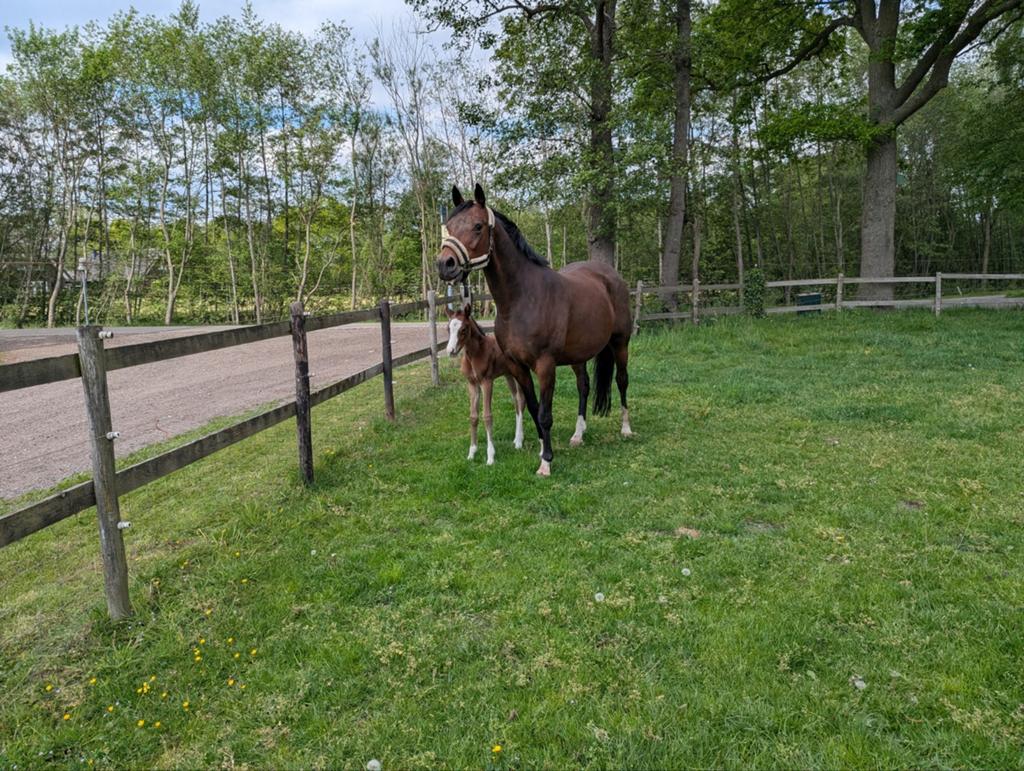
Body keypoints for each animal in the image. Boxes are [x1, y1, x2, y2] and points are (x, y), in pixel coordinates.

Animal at [445, 303, 526, 465]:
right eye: (448, 328)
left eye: (464, 329)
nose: (450, 351)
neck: (474, 355)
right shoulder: (472, 384)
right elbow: (473, 416)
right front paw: (472, 453)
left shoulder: (487, 382)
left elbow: (487, 416)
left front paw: (490, 456)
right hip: (508, 375)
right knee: (516, 401)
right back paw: (516, 438)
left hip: (518, 374)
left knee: (521, 401)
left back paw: (519, 441)